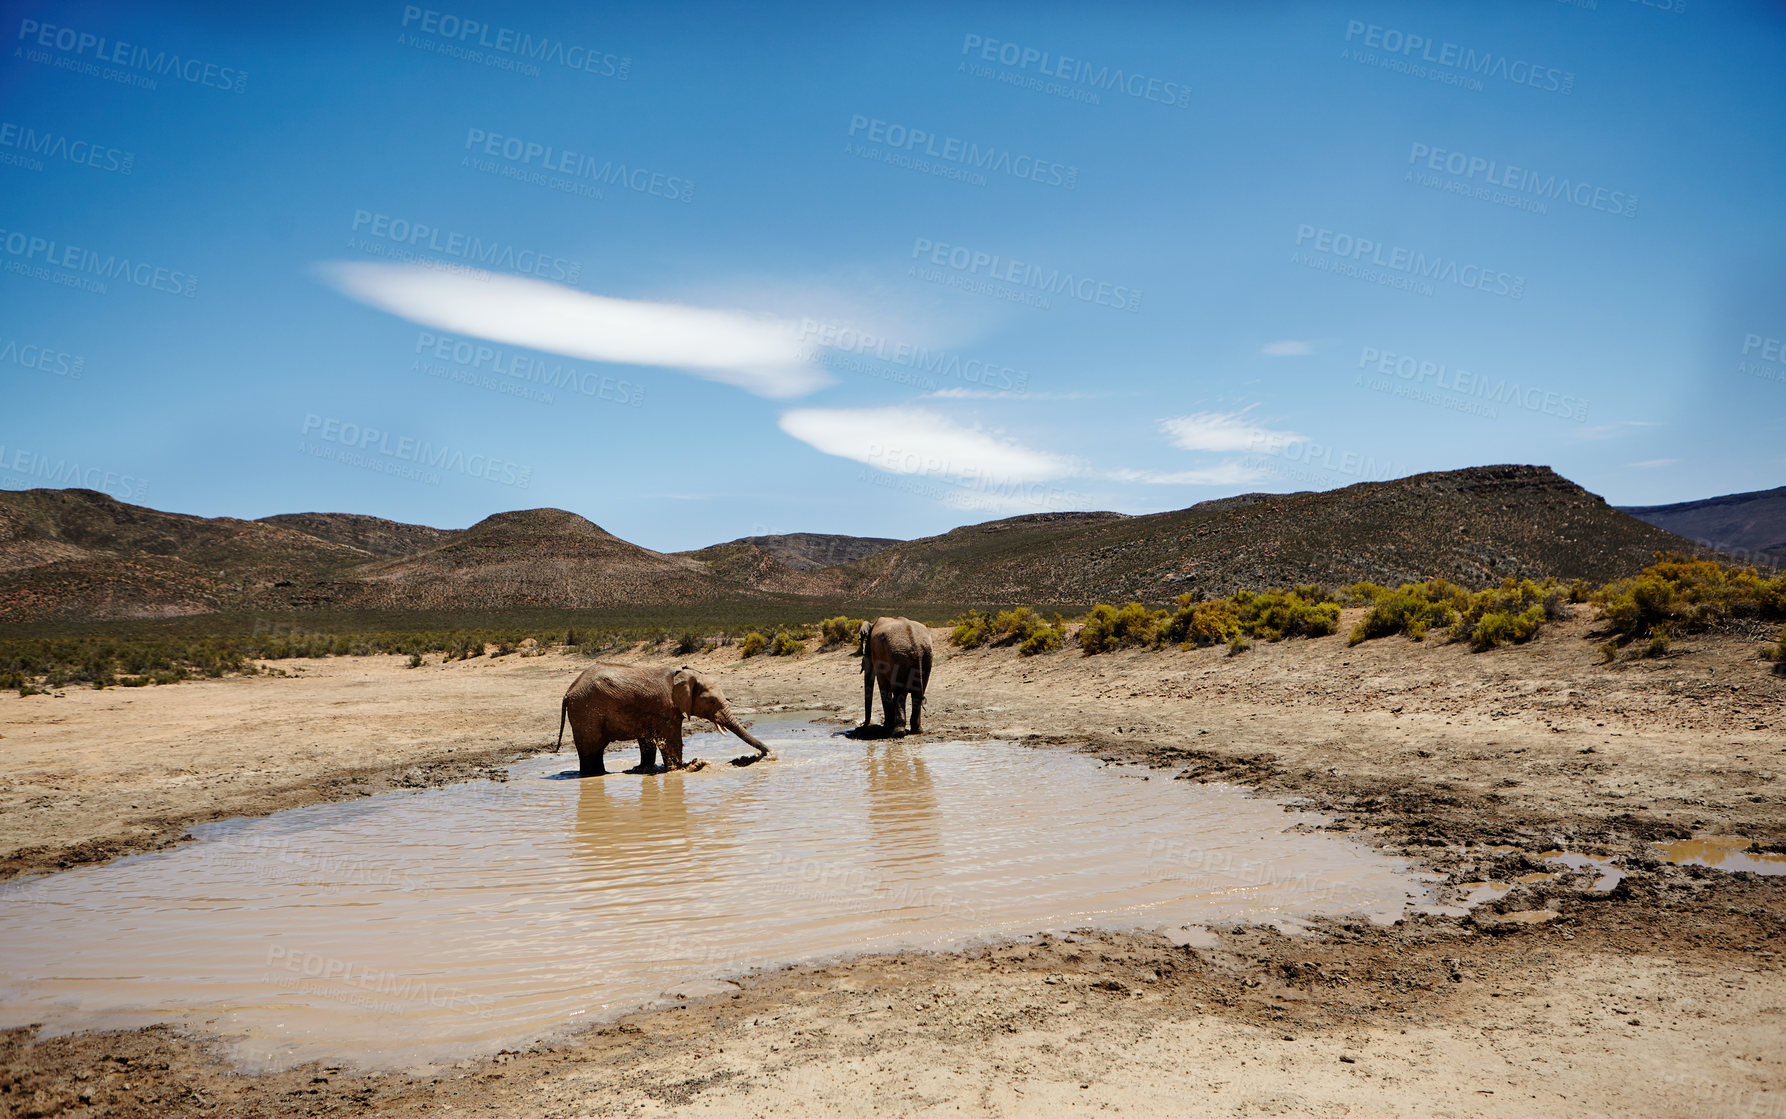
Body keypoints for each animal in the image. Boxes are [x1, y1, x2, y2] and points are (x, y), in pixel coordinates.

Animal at [553, 663, 771, 778]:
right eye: (711, 701)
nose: (767, 753)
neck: (681, 674)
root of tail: (568, 691)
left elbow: (647, 740)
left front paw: (643, 770)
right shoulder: (667, 709)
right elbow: (672, 739)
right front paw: (679, 769)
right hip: (585, 712)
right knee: (591, 749)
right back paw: (592, 776)